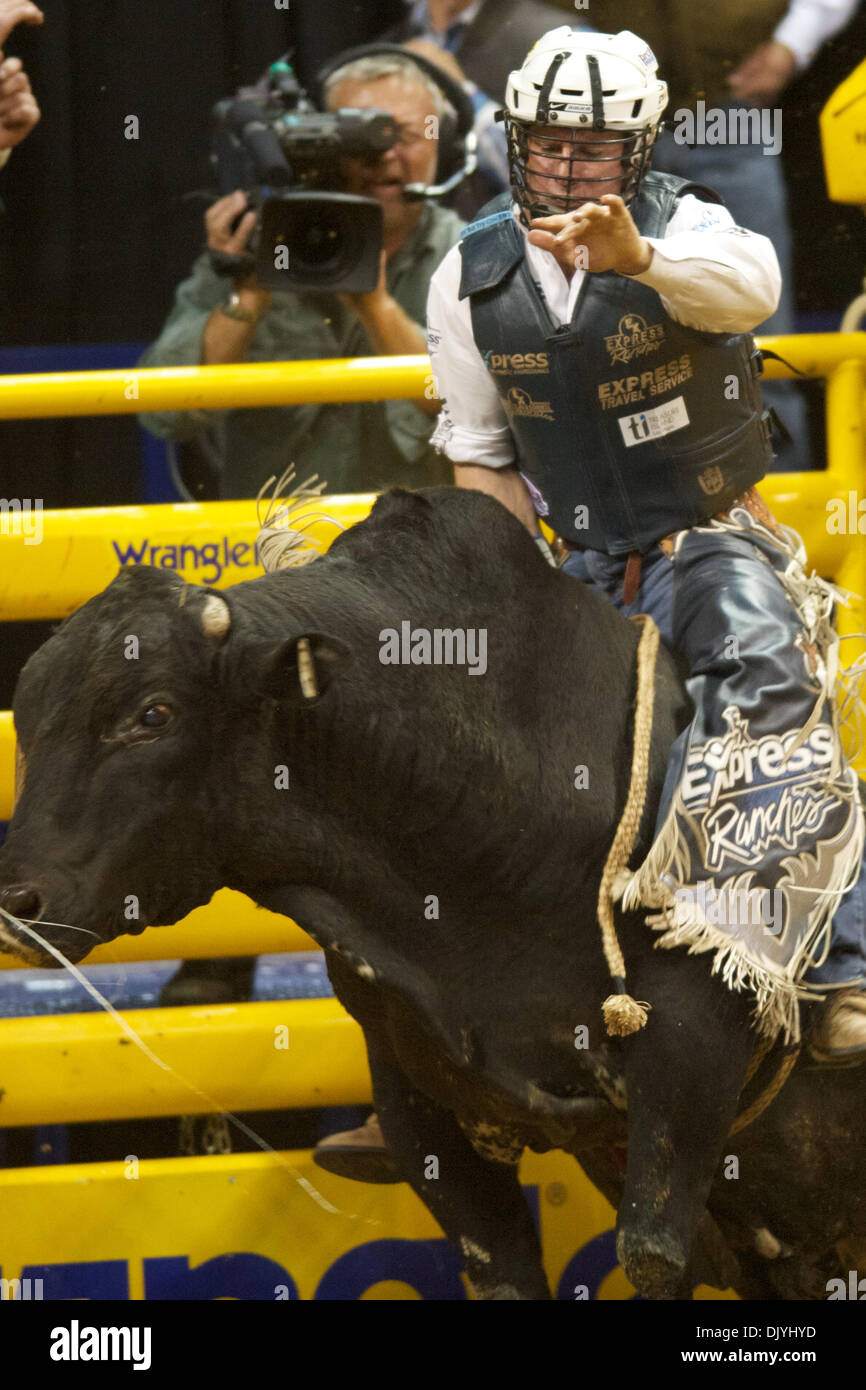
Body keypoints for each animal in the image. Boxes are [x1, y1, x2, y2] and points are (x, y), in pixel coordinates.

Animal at [1, 489, 866, 1301]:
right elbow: (501, 1269)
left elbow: (650, 1259)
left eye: (152, 714)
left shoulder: (689, 1057)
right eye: (31, 717)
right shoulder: (419, 1102)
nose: (17, 905)